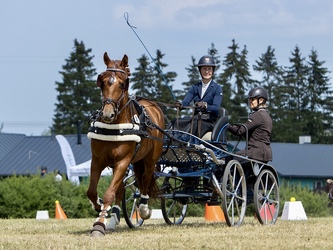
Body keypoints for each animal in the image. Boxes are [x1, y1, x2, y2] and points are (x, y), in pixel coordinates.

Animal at [85, 52, 163, 236]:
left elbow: (109, 193)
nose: (107, 114)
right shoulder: (97, 160)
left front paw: (99, 225)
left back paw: (143, 209)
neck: (115, 127)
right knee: (120, 188)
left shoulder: (123, 161)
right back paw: (114, 218)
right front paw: (99, 207)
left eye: (122, 84)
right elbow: (92, 191)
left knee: (145, 180)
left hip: (150, 159)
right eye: (103, 81)